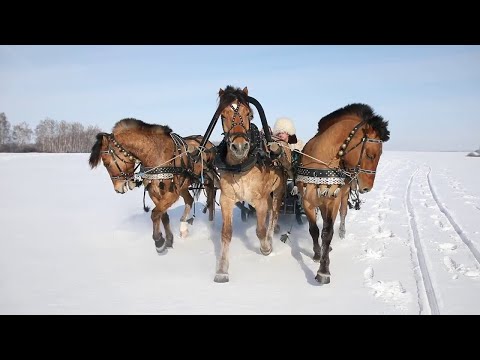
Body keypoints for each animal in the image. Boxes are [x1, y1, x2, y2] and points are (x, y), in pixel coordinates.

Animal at [89, 118, 217, 253]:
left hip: (208, 181)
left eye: (106, 163)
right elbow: (163, 215)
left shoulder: (172, 193)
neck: (156, 154)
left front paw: (158, 240)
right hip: (183, 186)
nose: (118, 189)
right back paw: (183, 228)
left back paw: (211, 226)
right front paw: (168, 239)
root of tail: (208, 143)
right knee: (189, 200)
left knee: (210, 203)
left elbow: (155, 213)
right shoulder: (153, 192)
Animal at [214, 86, 292, 282]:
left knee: (274, 215)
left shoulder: (260, 200)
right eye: (223, 115)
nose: (239, 147)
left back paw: (272, 236)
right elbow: (226, 233)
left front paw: (266, 249)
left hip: (278, 191)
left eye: (249, 114)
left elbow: (260, 230)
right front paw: (222, 270)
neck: (241, 166)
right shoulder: (226, 199)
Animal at [296, 104, 390, 284]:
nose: (367, 188)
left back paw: (341, 232)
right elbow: (314, 230)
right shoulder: (307, 200)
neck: (319, 165)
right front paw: (317, 254)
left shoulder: (333, 199)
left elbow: (327, 233)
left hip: (343, 193)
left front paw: (324, 271)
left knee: (342, 213)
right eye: (371, 154)